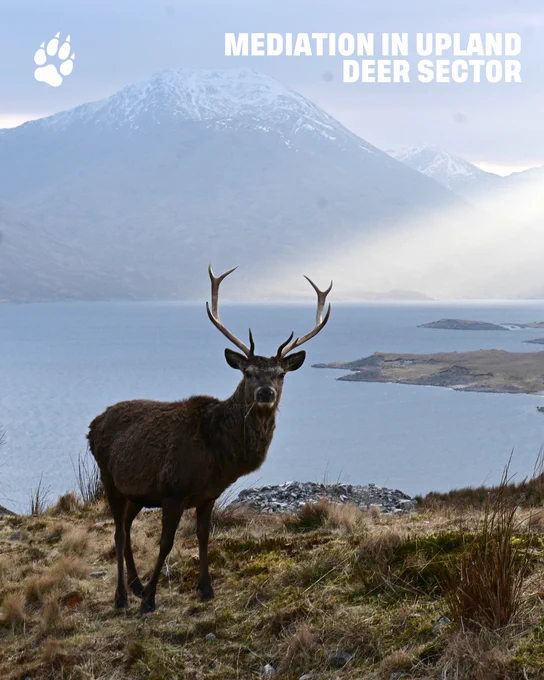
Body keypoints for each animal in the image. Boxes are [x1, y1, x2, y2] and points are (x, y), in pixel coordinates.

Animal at [87, 265, 332, 614]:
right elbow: (167, 542)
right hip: (109, 479)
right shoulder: (173, 489)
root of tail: (92, 425)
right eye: (247, 372)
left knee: (127, 529)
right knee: (119, 533)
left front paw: (205, 588)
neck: (218, 454)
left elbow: (204, 537)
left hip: (135, 492)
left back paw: (134, 586)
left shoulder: (208, 494)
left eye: (281, 374)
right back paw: (123, 595)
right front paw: (150, 600)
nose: (265, 393)